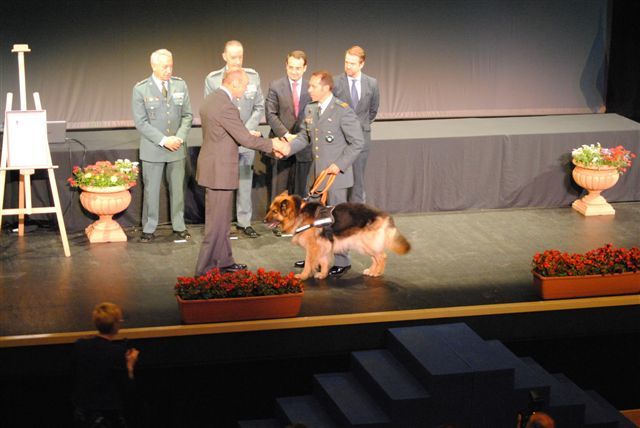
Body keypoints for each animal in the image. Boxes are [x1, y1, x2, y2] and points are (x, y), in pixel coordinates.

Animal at [264, 191, 410, 280]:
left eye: (274, 211)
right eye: (270, 210)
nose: (264, 221)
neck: (298, 212)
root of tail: (382, 214)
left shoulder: (313, 247)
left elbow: (309, 263)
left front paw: (303, 276)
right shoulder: (323, 245)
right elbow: (323, 261)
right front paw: (323, 274)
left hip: (367, 243)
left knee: (382, 256)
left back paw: (377, 272)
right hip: (363, 244)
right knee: (376, 258)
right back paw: (371, 270)